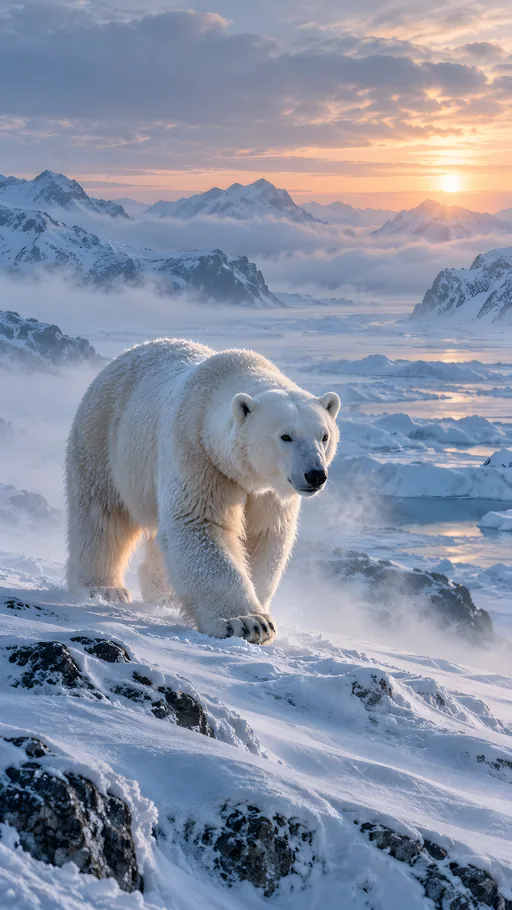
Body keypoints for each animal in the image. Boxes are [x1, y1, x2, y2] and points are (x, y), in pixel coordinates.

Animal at [66, 339, 340, 643]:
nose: (315, 475)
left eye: (324, 436)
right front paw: (248, 623)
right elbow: (199, 523)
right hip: (104, 438)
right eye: (286, 436)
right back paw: (103, 588)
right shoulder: (197, 452)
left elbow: (264, 536)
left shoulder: (268, 491)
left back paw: (165, 594)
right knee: (102, 513)